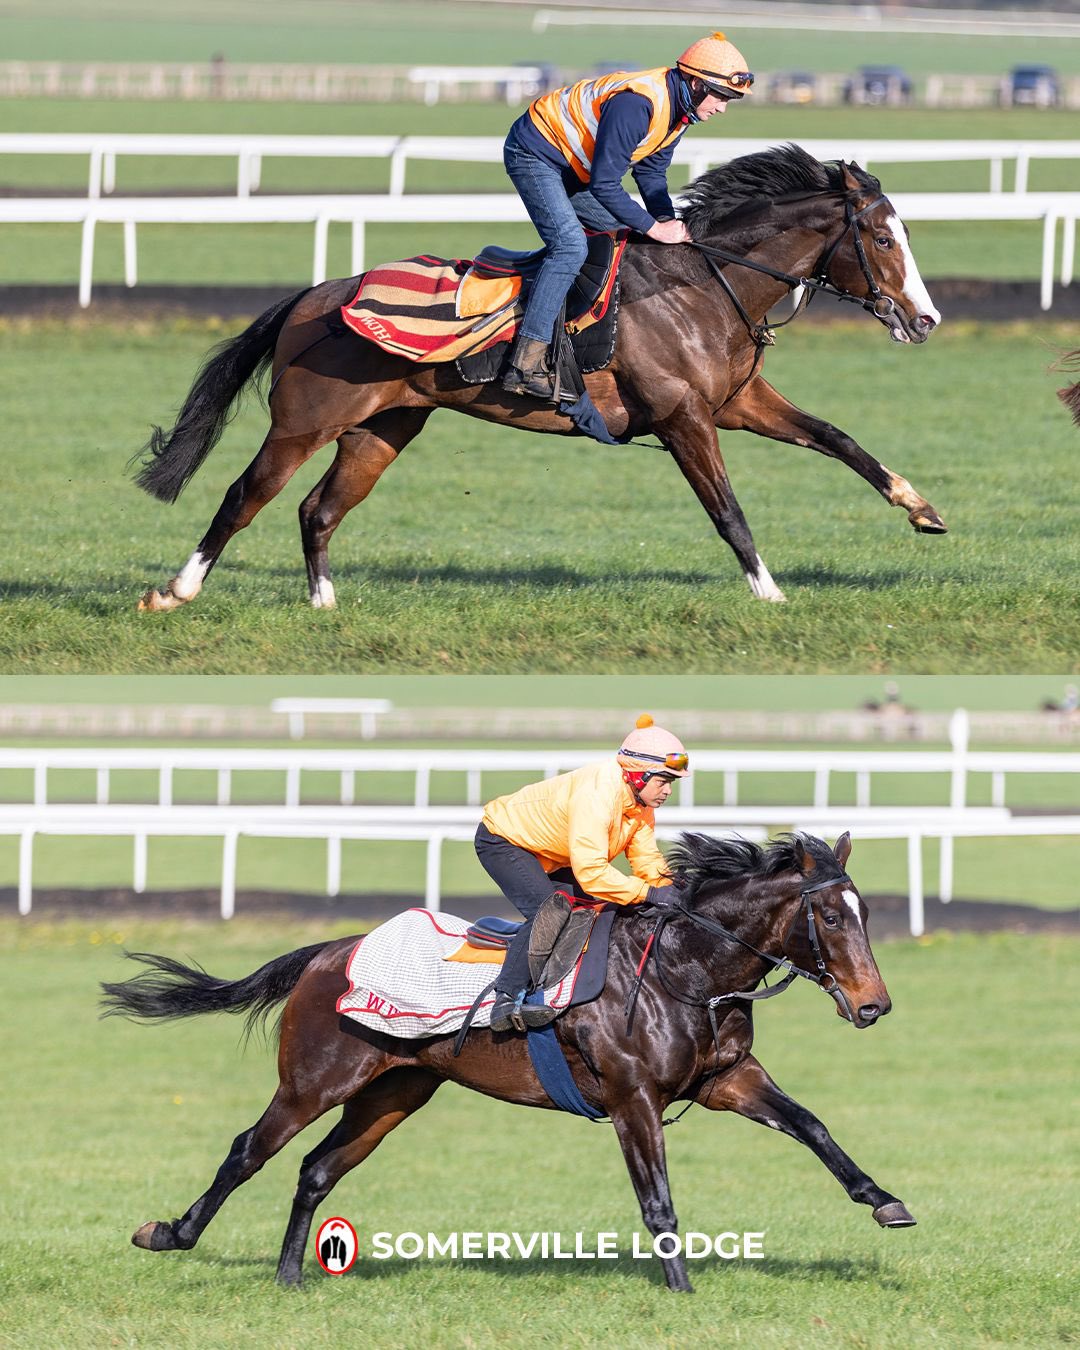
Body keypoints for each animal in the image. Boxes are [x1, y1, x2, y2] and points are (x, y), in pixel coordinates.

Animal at [100, 830, 915, 1294]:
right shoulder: (632, 1098)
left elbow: (812, 1126)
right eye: (831, 915)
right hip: (313, 1081)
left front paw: (884, 1200)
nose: (874, 1005)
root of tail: (329, 952)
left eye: (868, 912)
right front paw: (681, 1290)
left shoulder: (726, 1079)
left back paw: (292, 1276)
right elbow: (657, 1201)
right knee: (248, 1152)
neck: (684, 969)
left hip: (394, 1092)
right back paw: (169, 1234)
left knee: (316, 1170)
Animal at [133, 145, 944, 613]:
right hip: (304, 421)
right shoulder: (684, 416)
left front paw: (921, 508)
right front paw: (770, 592)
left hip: (382, 428)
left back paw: (326, 606)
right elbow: (728, 510)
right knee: (244, 496)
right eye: (881, 237)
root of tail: (313, 295)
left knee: (318, 510)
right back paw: (175, 592)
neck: (703, 284)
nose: (926, 319)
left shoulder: (738, 401)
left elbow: (837, 438)